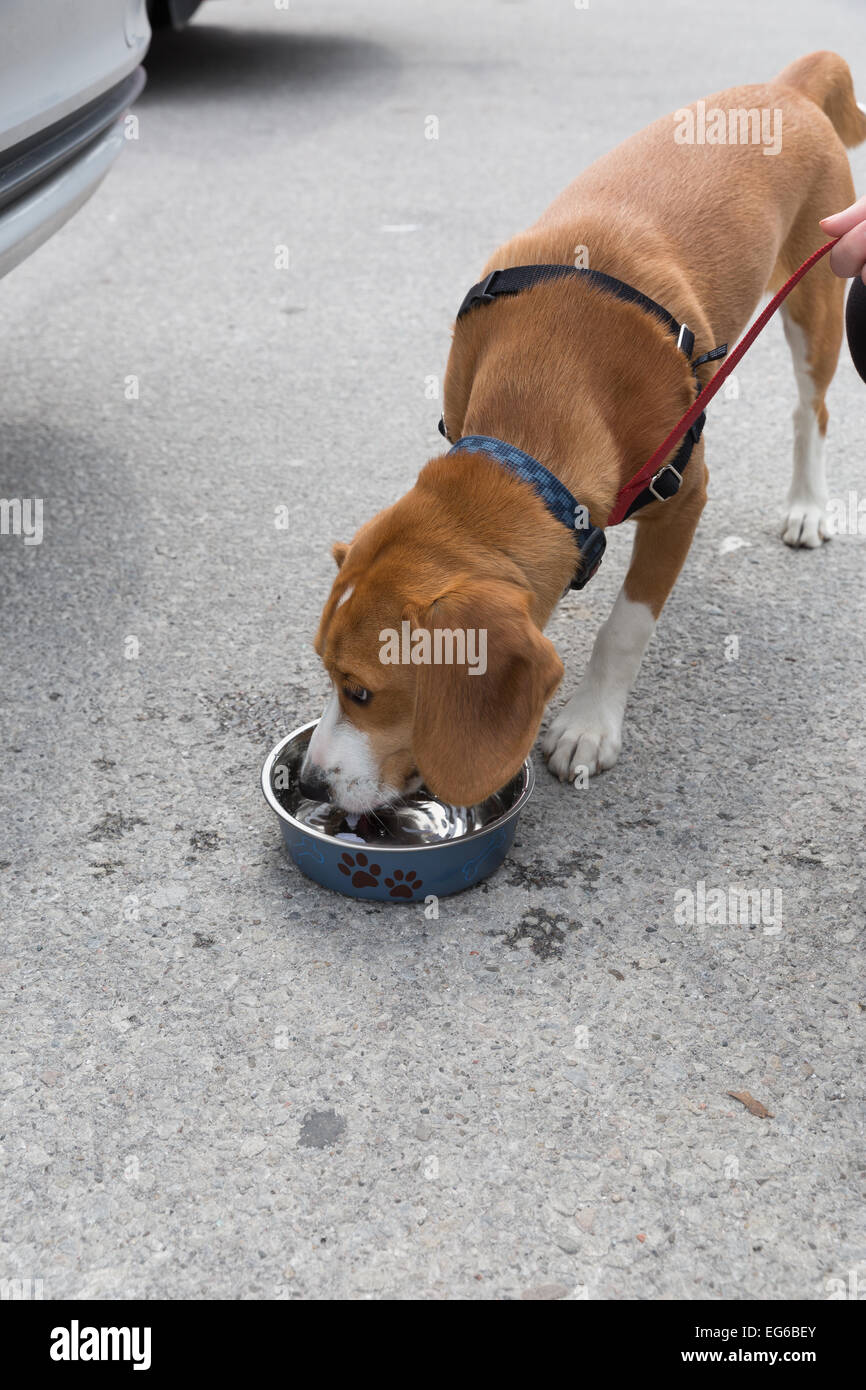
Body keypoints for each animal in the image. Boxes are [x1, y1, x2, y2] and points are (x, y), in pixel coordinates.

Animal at [300, 51, 866, 811]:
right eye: (327, 674)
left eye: (362, 691)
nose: (308, 784)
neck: (550, 381)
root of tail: (787, 88)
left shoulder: (685, 497)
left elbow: (624, 627)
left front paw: (591, 724)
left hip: (818, 297)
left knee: (813, 411)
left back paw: (807, 504)